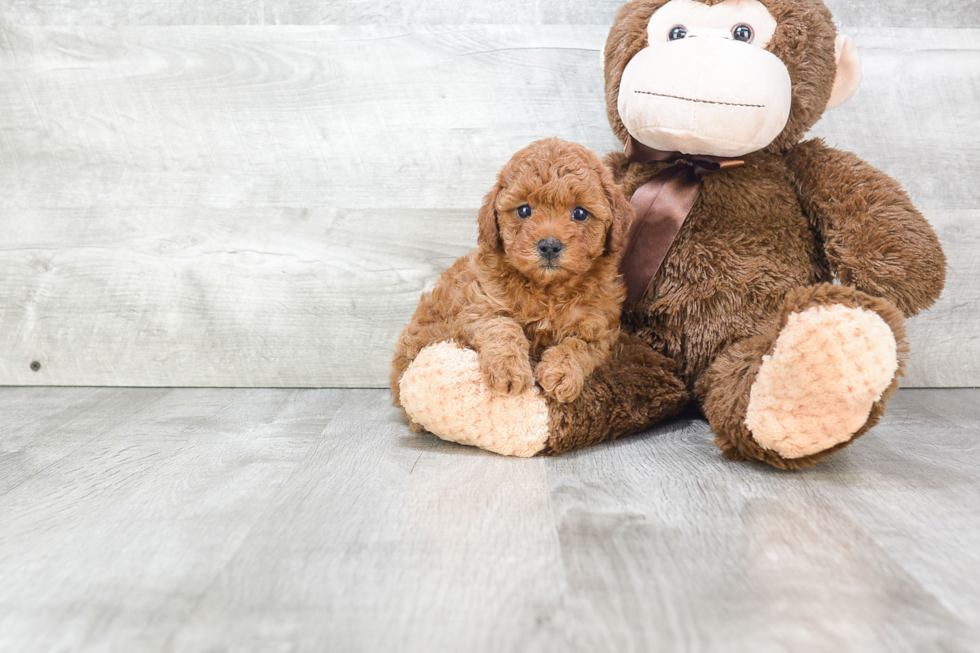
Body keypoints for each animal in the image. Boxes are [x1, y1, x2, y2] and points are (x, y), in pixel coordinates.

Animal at [390, 140, 636, 450]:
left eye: (580, 213)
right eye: (524, 210)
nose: (549, 245)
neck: (548, 290)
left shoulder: (599, 330)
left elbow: (577, 346)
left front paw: (561, 374)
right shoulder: (477, 307)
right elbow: (503, 326)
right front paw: (509, 369)